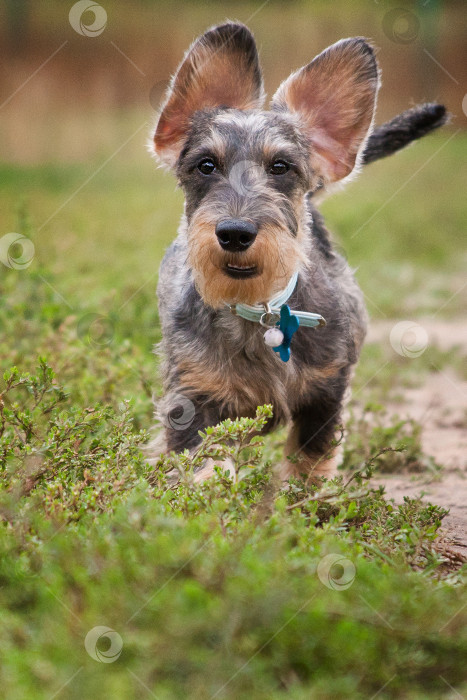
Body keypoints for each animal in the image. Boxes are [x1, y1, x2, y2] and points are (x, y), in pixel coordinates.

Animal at [148, 21, 448, 482]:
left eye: (281, 167)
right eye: (205, 165)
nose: (235, 233)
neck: (260, 312)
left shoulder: (325, 395)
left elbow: (309, 462)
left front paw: (299, 498)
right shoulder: (193, 399)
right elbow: (204, 464)